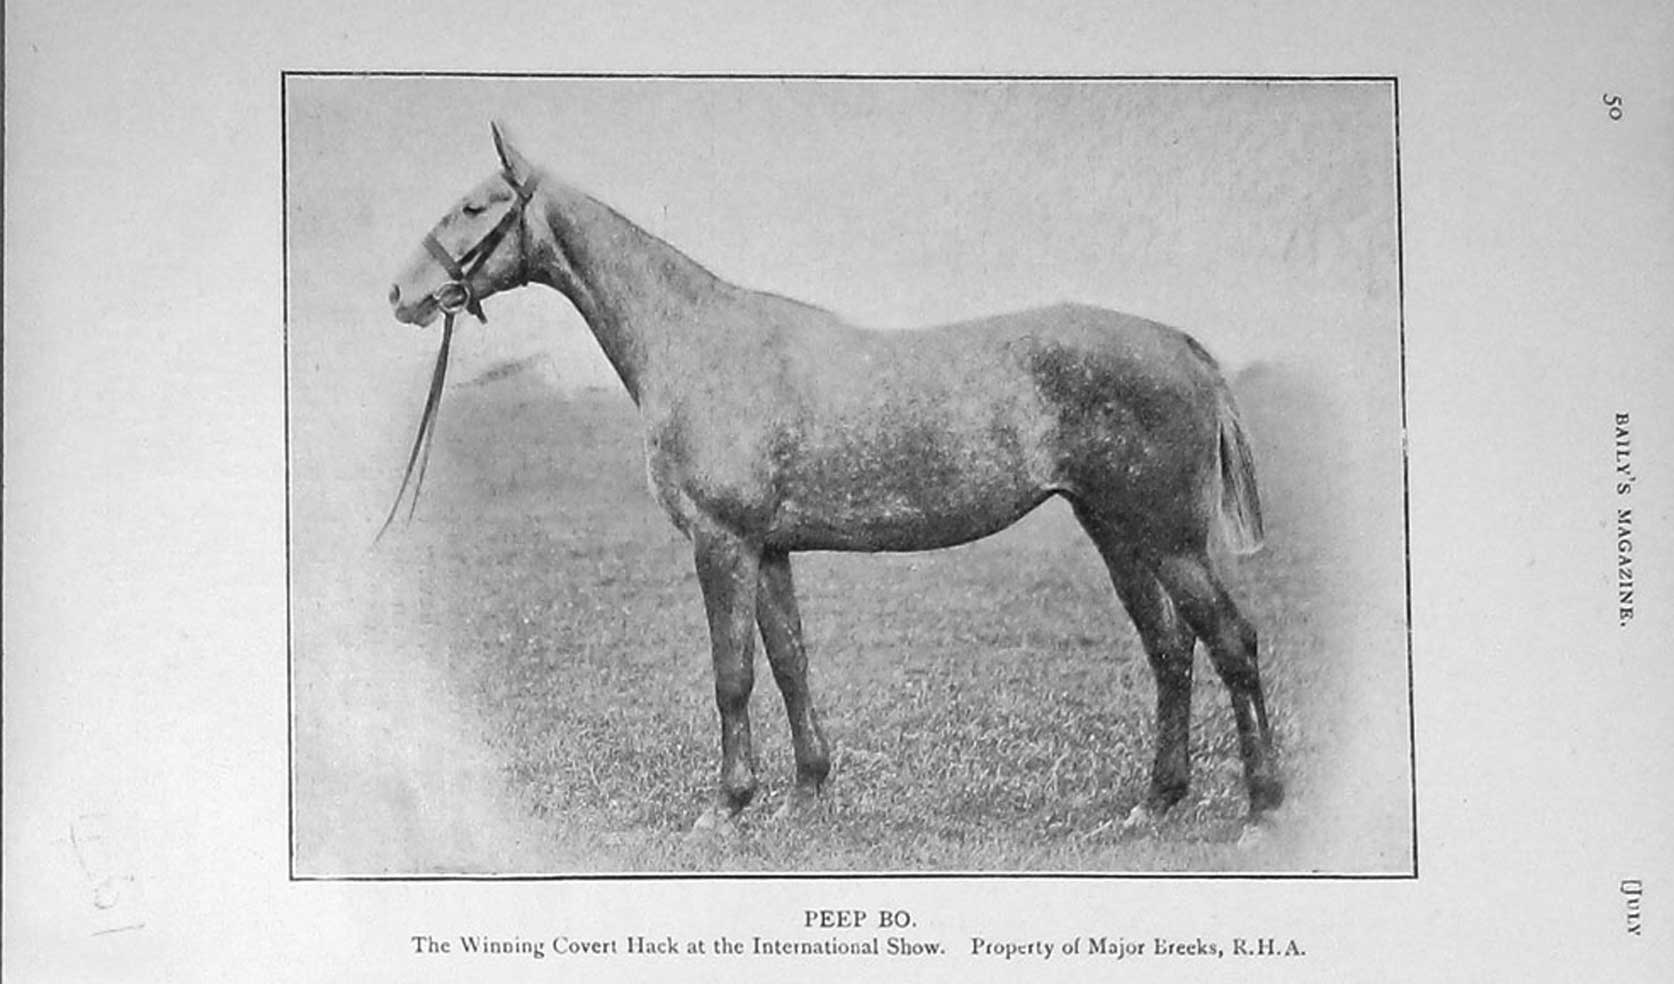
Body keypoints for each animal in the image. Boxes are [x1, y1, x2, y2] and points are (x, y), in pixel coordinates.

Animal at [386, 122, 1282, 839]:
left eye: (476, 207)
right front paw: (809, 792)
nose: (402, 292)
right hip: (1116, 531)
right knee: (1170, 649)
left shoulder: (722, 543)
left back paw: (1264, 808)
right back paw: (1156, 801)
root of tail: (1185, 348)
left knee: (1230, 641)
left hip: (1168, 538)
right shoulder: (769, 549)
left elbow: (733, 674)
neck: (697, 343)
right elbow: (790, 662)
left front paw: (727, 805)